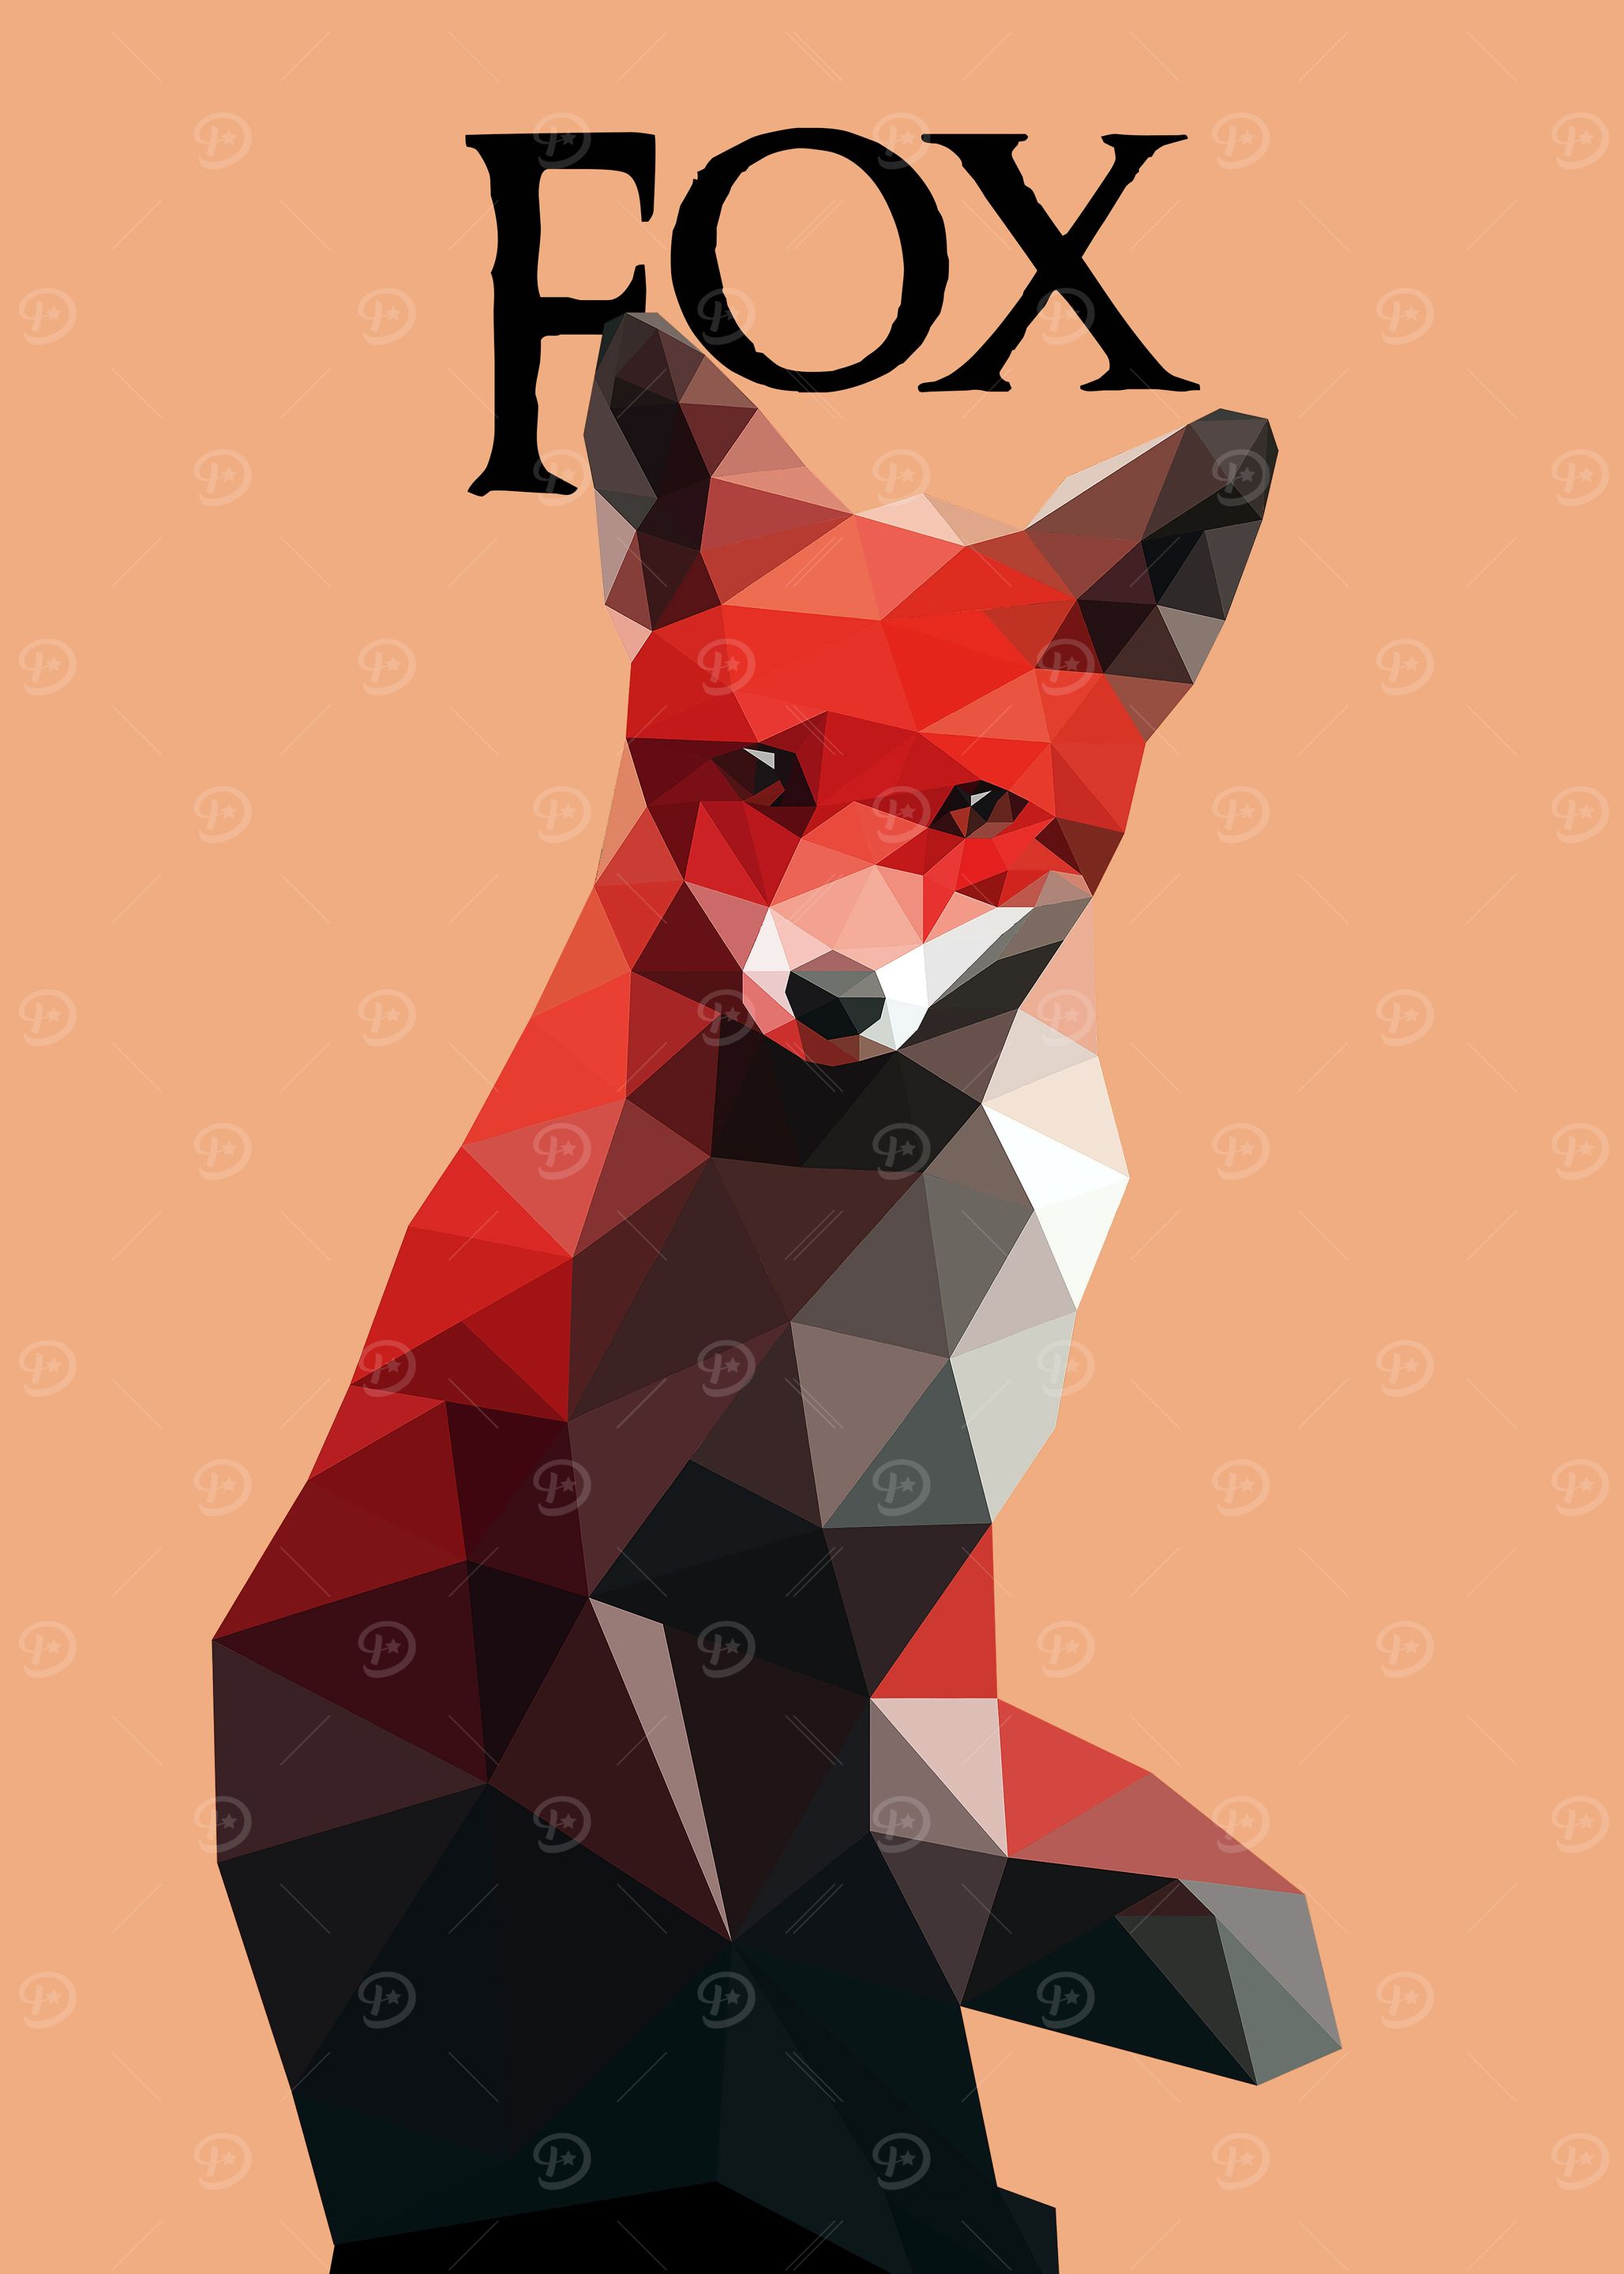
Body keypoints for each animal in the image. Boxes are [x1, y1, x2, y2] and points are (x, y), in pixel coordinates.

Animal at [213, 312, 1337, 2273]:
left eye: (974, 806)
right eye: (757, 778)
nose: (830, 996)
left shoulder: (919, 1544)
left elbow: (923, 1864)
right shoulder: (716, 1595)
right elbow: (843, 1967)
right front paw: (936, 2195)